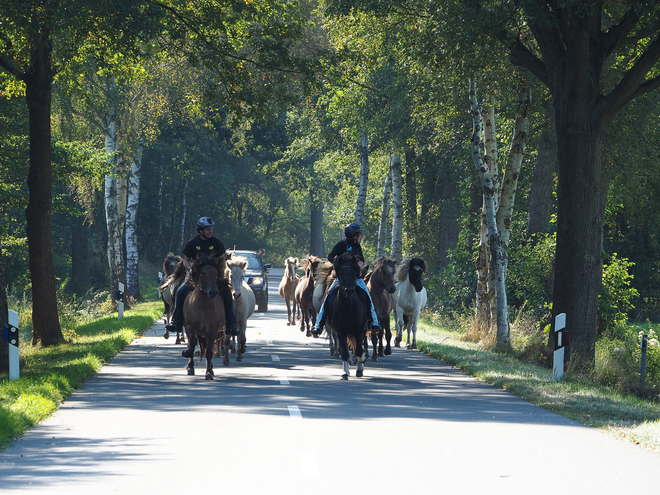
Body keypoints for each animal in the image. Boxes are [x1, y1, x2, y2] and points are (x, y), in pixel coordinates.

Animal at [324, 254, 372, 382]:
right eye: (341, 273)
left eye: (354, 272)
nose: (349, 290)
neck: (348, 305)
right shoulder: (341, 331)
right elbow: (345, 352)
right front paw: (345, 373)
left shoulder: (359, 330)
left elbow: (359, 350)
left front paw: (361, 363)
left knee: (358, 347)